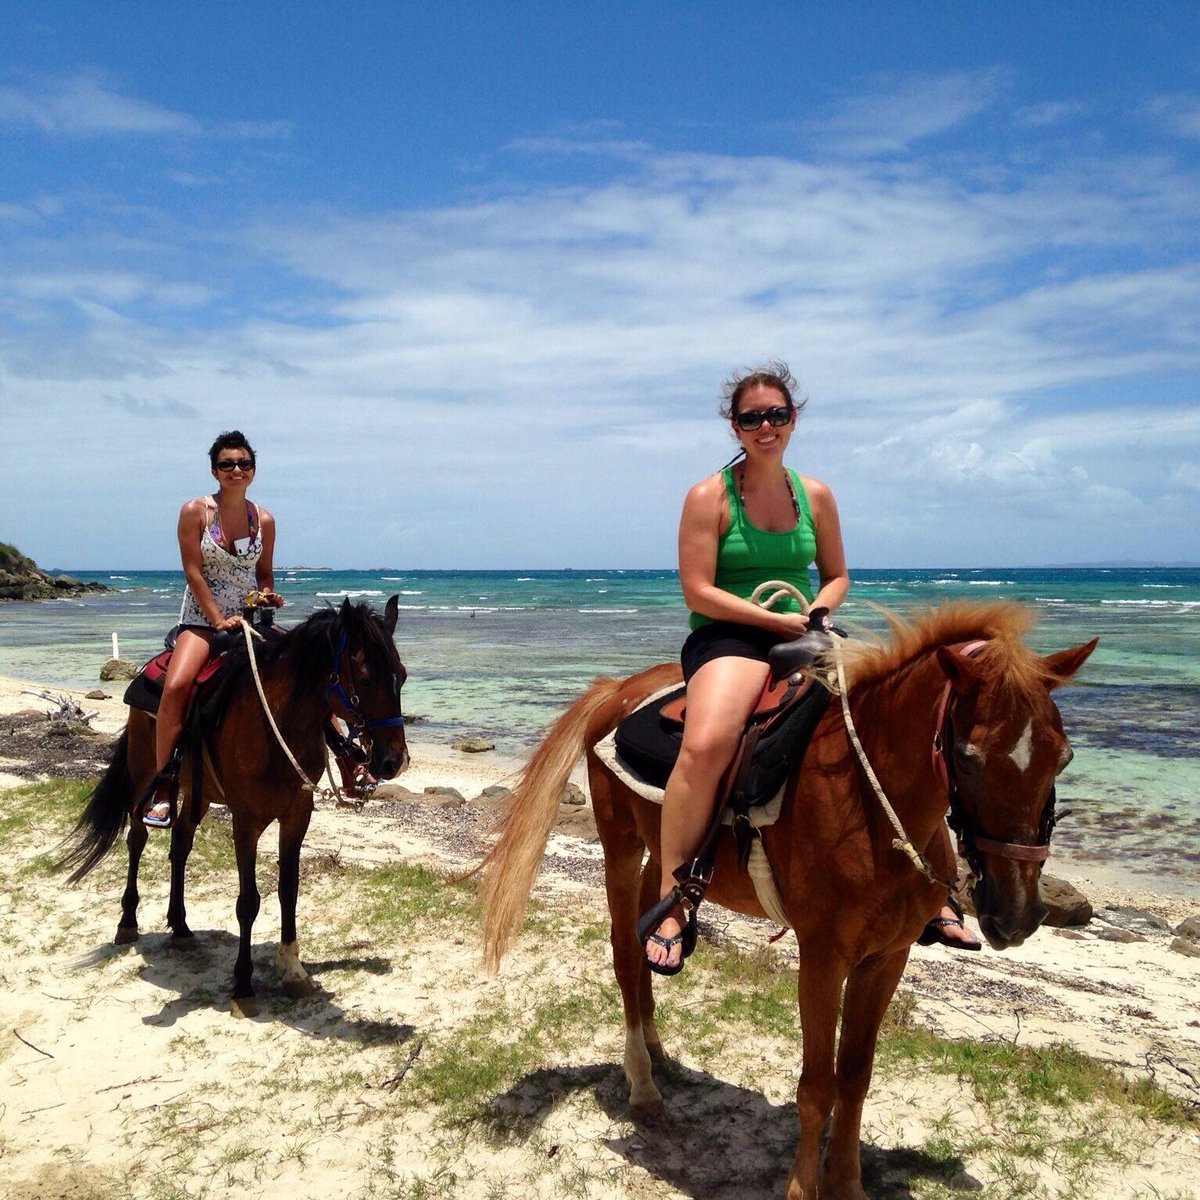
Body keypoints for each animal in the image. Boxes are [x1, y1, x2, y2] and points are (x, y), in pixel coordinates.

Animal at [62, 595, 412, 1017]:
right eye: (365, 679)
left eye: (401, 676)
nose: (393, 761)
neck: (276, 720)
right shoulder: (245, 821)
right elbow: (249, 902)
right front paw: (243, 985)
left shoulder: (296, 814)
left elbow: (289, 889)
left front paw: (293, 969)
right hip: (143, 776)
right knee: (137, 839)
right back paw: (127, 920)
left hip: (198, 793)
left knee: (180, 845)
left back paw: (180, 927)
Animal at [482, 604, 1099, 1200]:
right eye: (967, 758)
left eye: (1065, 758)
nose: (1017, 914)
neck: (869, 805)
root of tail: (618, 688)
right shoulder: (823, 959)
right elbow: (818, 1086)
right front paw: (804, 1187)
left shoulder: (887, 957)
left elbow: (856, 1078)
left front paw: (847, 1184)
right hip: (619, 843)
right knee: (622, 951)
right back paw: (642, 1084)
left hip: (662, 853)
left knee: (651, 934)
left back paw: (658, 1042)